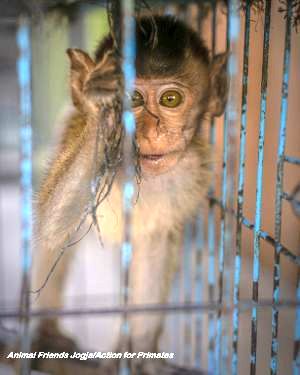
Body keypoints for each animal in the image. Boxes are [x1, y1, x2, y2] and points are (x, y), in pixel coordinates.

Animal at [31, 14, 227, 375]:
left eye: (170, 100)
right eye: (132, 99)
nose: (150, 132)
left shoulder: (191, 171)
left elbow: (156, 244)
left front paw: (142, 350)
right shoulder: (73, 133)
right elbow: (51, 227)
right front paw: (101, 106)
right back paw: (46, 331)